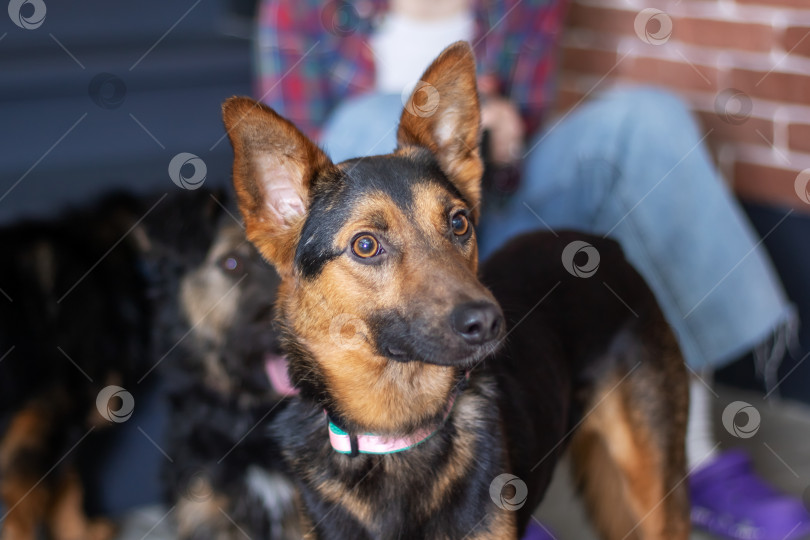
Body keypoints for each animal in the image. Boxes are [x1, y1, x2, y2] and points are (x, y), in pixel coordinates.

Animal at [221, 40, 688, 536]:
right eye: (365, 245)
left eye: (459, 222)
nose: (488, 322)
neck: (397, 434)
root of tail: (605, 244)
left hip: (654, 486)